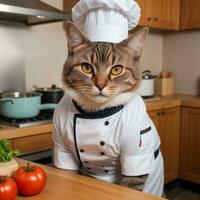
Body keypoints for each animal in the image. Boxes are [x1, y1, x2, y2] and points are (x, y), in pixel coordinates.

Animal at [52, 21, 162, 196]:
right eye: (86, 67)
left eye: (117, 69)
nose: (100, 85)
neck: (95, 113)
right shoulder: (63, 151)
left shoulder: (135, 157)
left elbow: (129, 187)